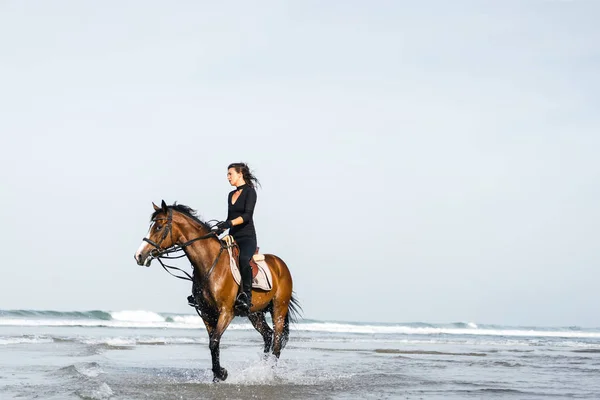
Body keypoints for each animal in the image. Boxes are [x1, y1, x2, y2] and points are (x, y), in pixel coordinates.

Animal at [132, 200, 298, 382]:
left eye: (159, 227)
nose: (139, 256)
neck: (210, 264)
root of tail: (280, 264)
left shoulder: (226, 312)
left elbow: (214, 342)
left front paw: (221, 373)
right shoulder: (206, 313)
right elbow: (213, 343)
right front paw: (217, 375)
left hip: (278, 309)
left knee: (276, 342)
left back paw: (268, 373)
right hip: (255, 312)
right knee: (268, 335)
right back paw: (261, 369)